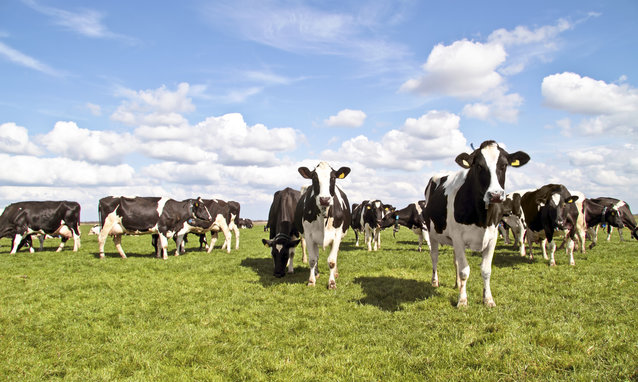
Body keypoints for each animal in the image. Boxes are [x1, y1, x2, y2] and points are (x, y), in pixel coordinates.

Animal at [296, 161, 352, 290]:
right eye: (314, 178)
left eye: (333, 178)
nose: (324, 199)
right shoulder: (309, 236)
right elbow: (312, 259)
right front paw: (311, 281)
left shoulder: (337, 236)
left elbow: (332, 261)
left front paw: (331, 283)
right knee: (316, 256)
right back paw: (316, 273)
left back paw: (335, 273)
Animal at [422, 141, 532, 308]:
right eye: (479, 166)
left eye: (504, 165)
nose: (495, 195)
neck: (482, 218)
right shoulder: (458, 237)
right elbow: (464, 271)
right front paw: (462, 301)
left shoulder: (492, 237)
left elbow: (486, 270)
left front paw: (488, 299)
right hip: (432, 232)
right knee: (434, 256)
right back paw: (435, 281)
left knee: (455, 261)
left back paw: (457, 284)